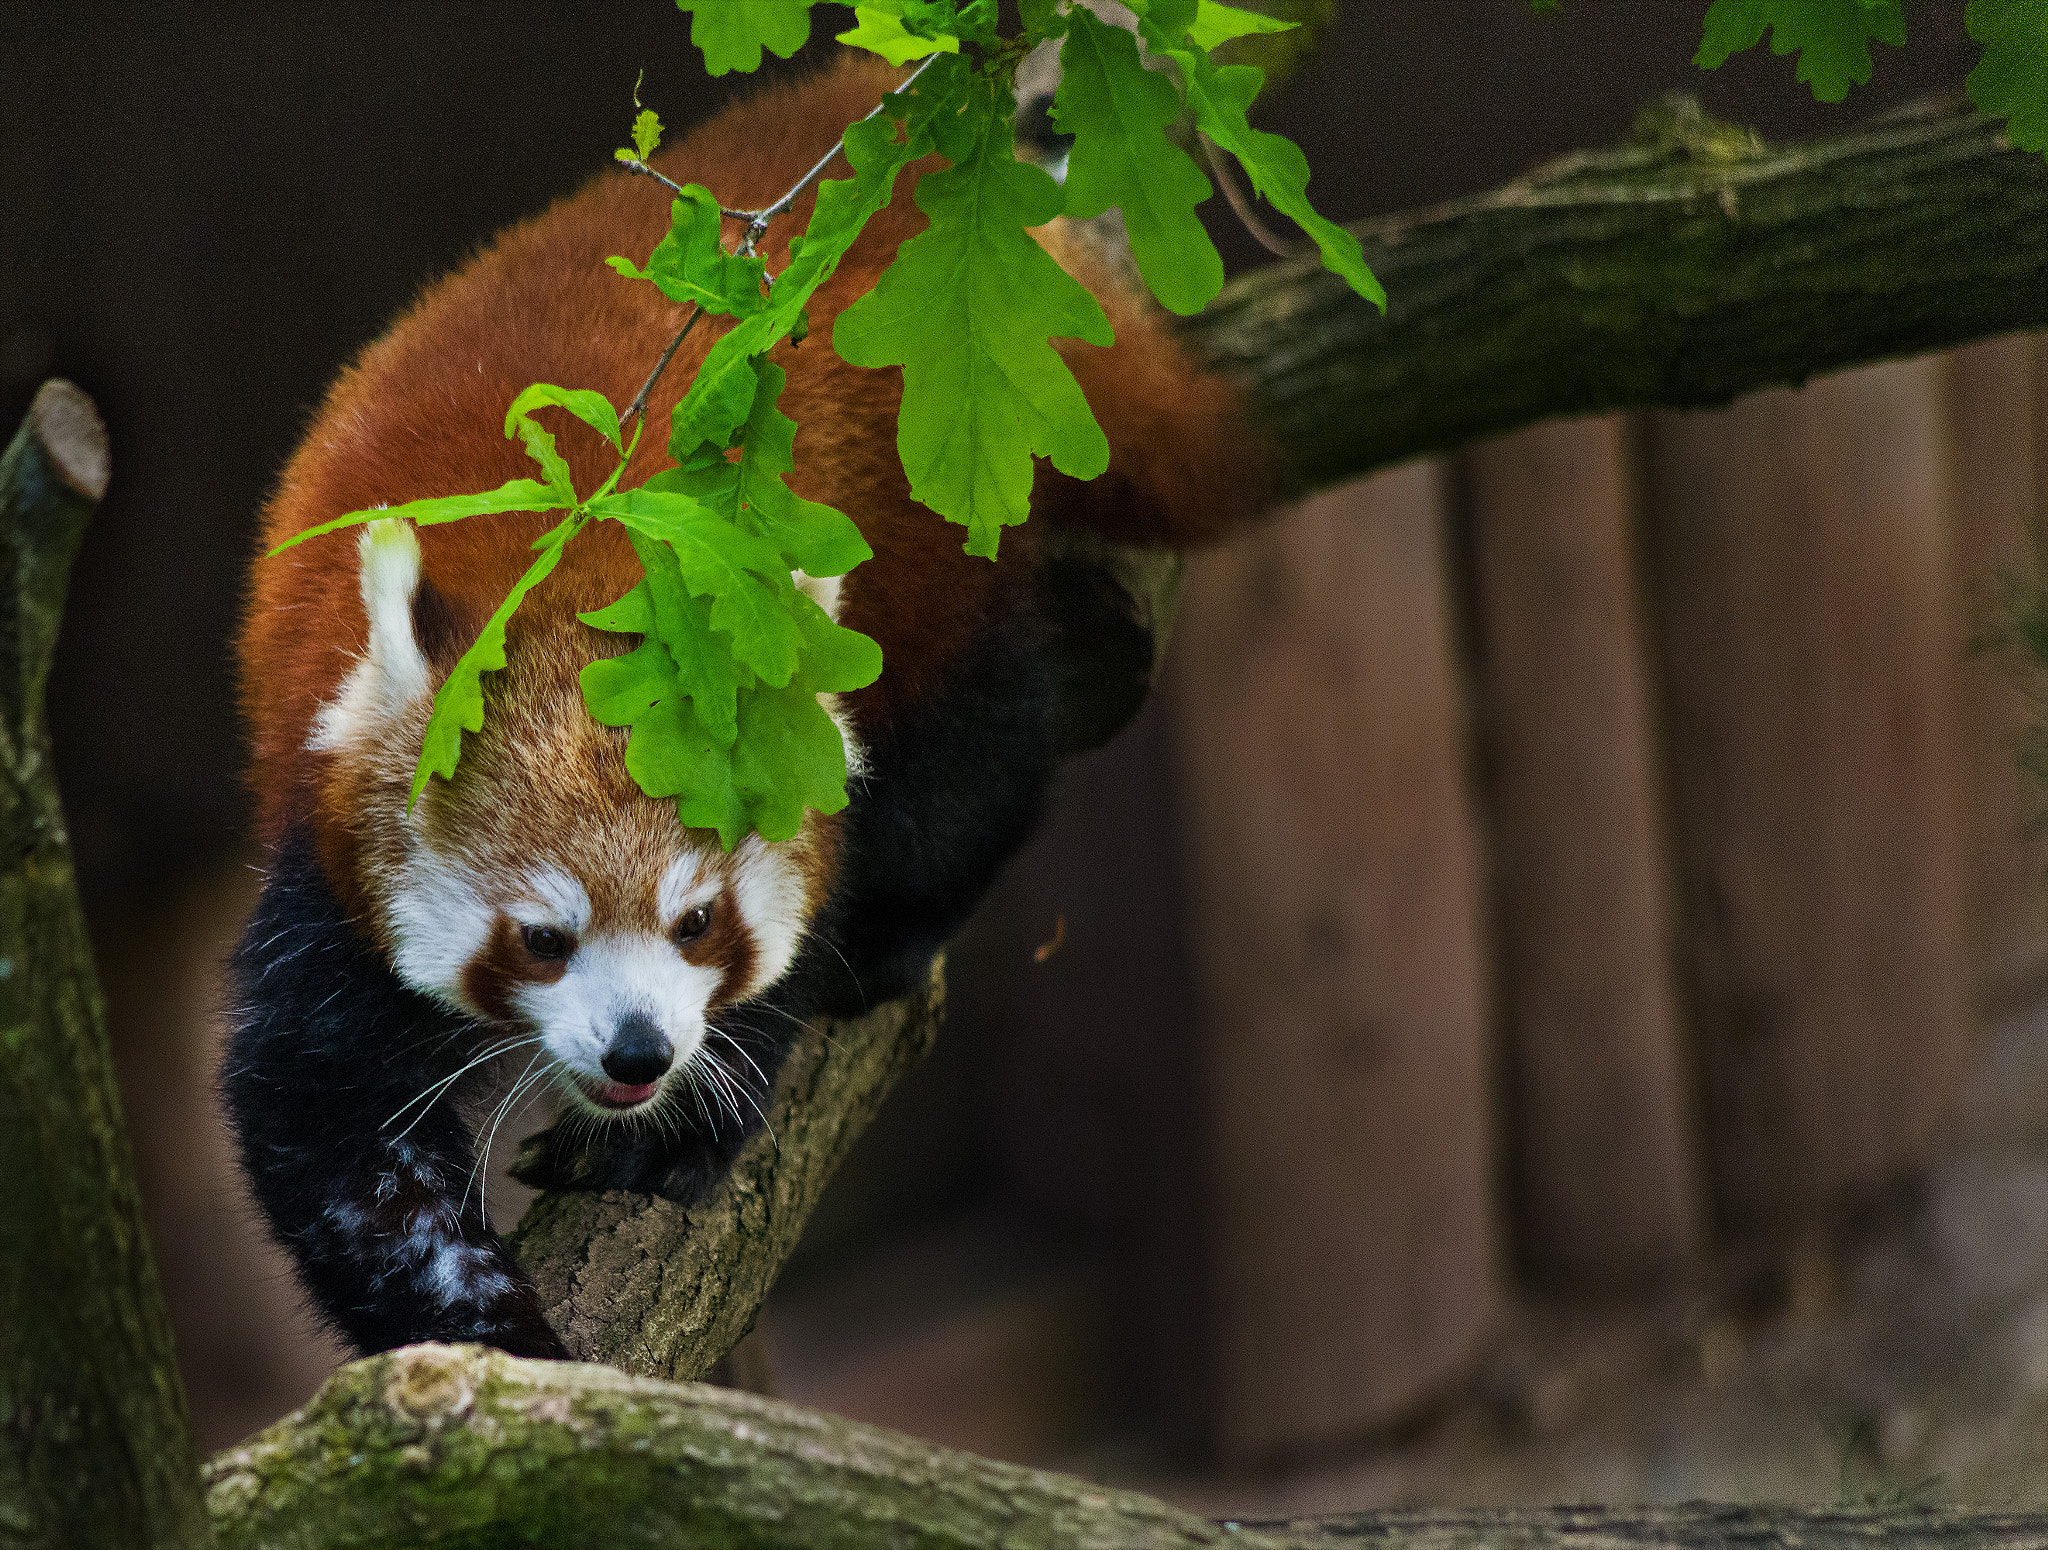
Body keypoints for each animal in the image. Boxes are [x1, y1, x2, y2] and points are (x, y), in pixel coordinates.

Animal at [220, 54, 1245, 1351]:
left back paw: (901, 927)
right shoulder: (326, 854)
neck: (578, 578)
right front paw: (501, 1347)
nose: (639, 1050)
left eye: (699, 918)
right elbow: (332, 1124)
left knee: (978, 744)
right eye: (543, 938)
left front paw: (678, 1127)